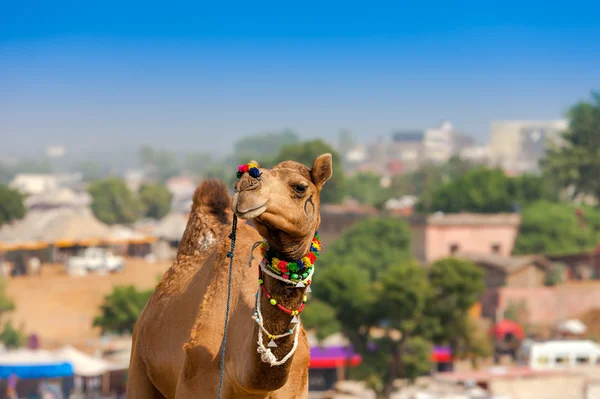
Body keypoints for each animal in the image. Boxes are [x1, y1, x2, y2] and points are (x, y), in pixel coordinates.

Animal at [126, 154, 332, 399]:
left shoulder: (296, 388)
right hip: (138, 364)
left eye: (300, 187)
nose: (246, 186)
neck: (249, 384)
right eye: (237, 182)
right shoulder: (195, 381)